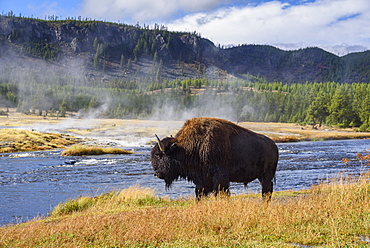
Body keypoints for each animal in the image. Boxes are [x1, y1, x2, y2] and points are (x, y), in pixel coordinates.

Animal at [150, 117, 278, 201]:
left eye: (158, 155)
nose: (156, 174)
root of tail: (274, 145)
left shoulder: (219, 177)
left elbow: (221, 193)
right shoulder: (202, 180)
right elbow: (199, 194)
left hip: (267, 174)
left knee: (267, 189)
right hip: (261, 176)